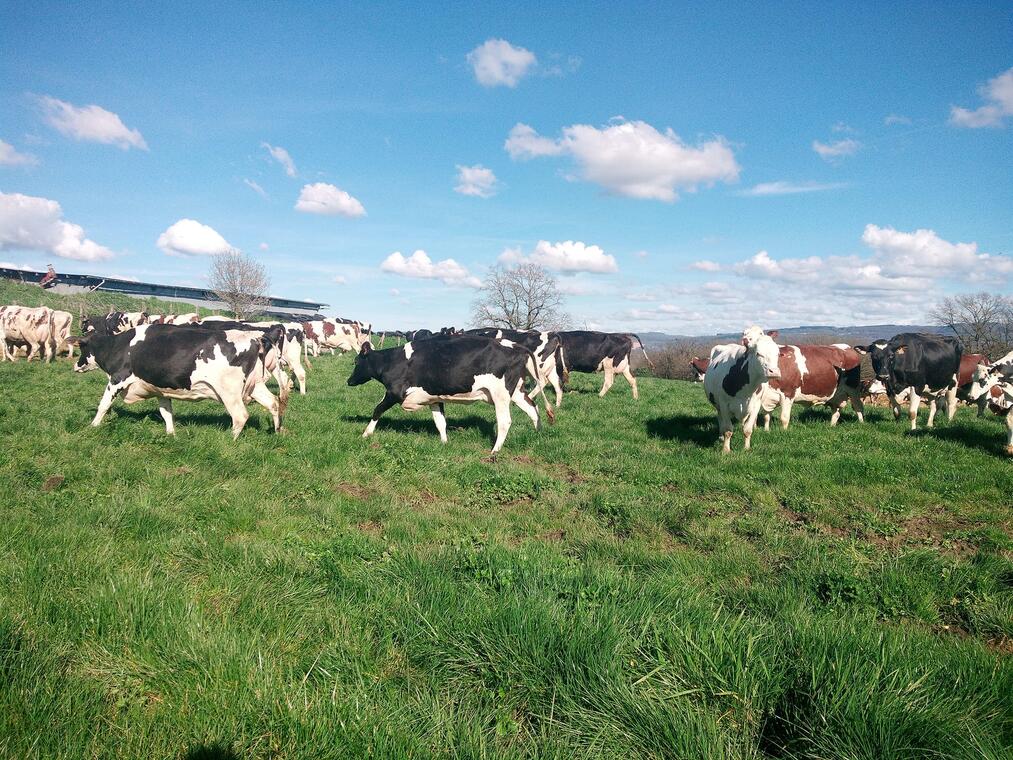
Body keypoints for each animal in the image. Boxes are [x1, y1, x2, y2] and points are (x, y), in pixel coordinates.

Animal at [71, 322, 285, 439]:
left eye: (82, 348)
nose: (75, 366)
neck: (118, 345)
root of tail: (257, 336)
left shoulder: (117, 378)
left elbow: (103, 404)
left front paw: (92, 426)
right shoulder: (160, 388)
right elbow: (166, 412)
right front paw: (171, 434)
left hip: (229, 391)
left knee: (240, 415)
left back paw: (229, 440)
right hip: (256, 386)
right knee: (274, 403)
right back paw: (277, 431)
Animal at [348, 334, 555, 456]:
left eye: (356, 361)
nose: (348, 381)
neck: (392, 361)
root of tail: (516, 345)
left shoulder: (394, 392)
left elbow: (377, 410)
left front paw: (366, 433)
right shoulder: (433, 397)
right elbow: (440, 421)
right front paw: (444, 442)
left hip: (500, 394)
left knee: (505, 421)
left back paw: (495, 450)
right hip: (517, 391)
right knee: (533, 408)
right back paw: (538, 435)